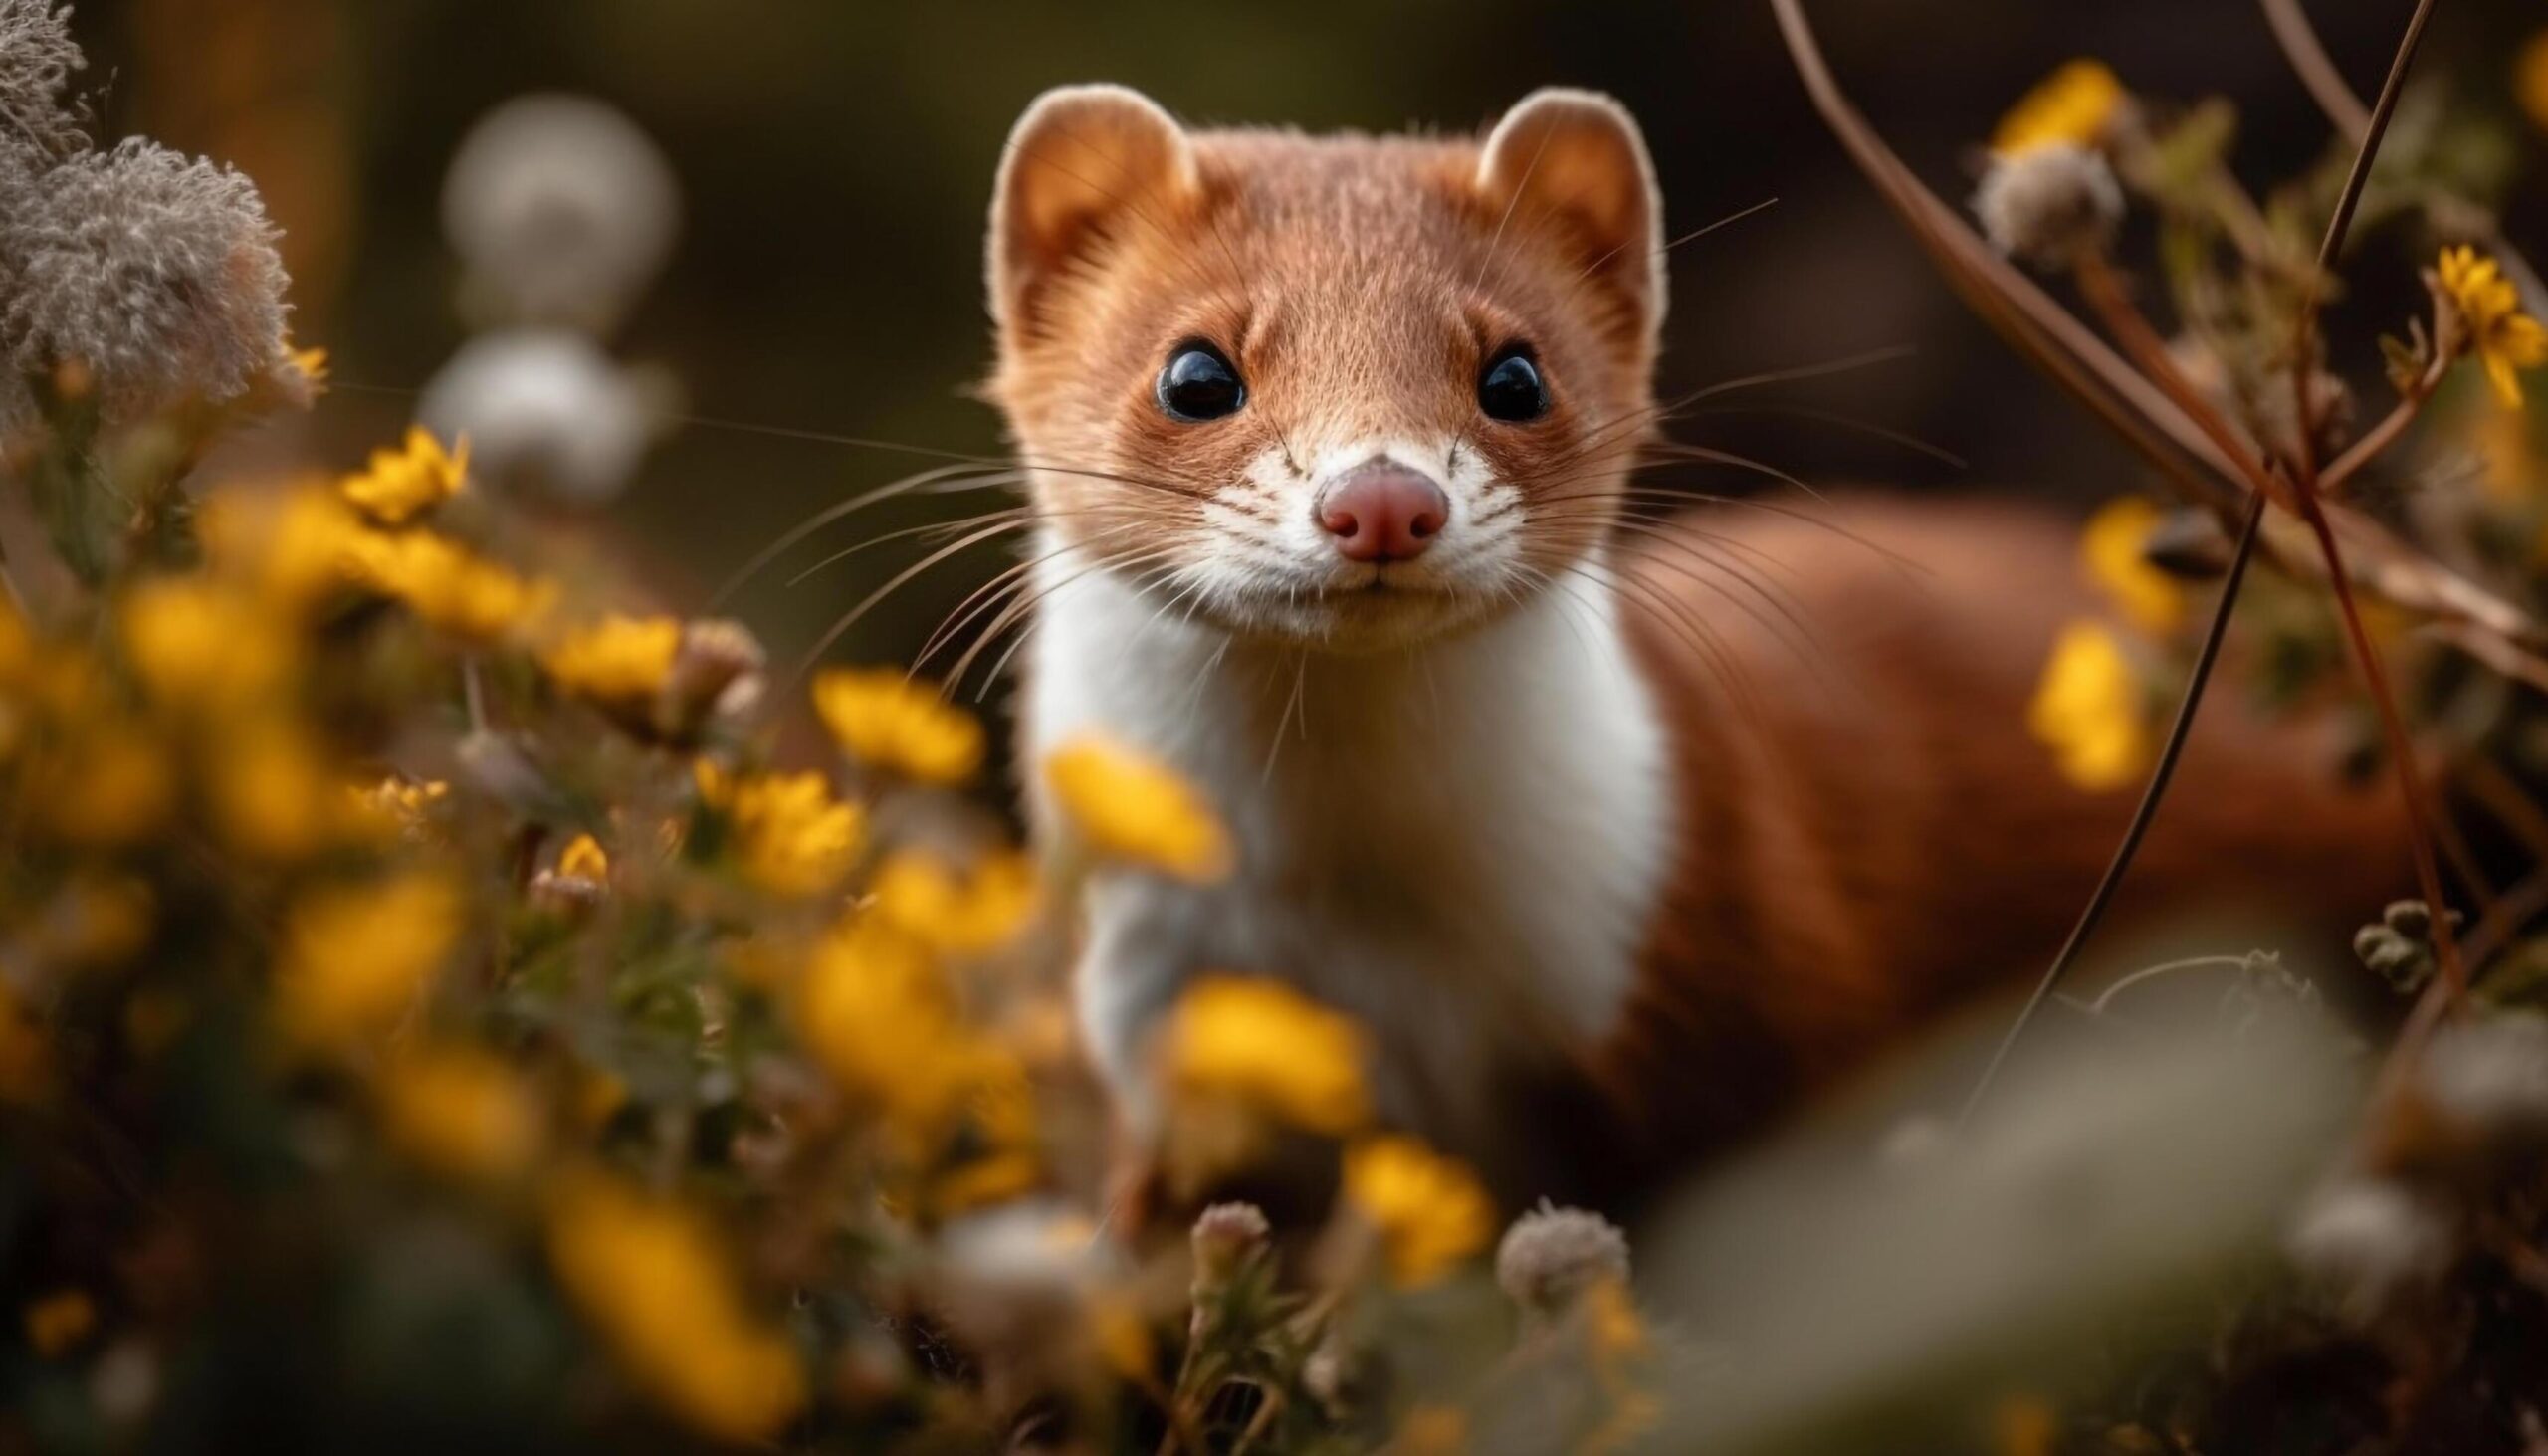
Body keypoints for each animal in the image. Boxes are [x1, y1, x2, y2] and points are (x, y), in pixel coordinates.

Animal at [983, 85, 2415, 1213]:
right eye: (1195, 373)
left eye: (1515, 372)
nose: (1383, 497)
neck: (1372, 928)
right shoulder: (1164, 1032)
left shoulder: (1728, 949)